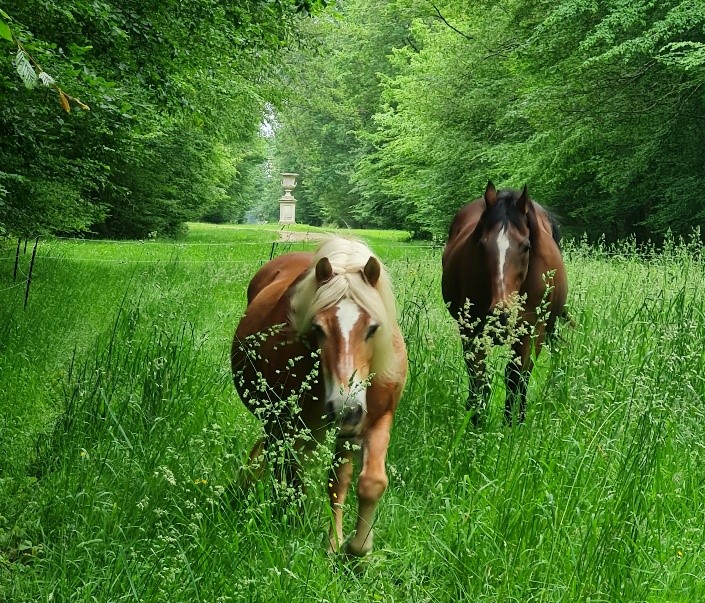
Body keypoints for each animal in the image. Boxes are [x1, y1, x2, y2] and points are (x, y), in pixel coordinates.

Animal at [231, 237, 407, 556]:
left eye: (373, 328)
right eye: (318, 328)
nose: (346, 408)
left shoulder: (377, 419)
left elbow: (367, 482)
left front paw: (356, 549)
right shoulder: (289, 424)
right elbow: (296, 477)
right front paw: (308, 531)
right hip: (276, 421)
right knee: (282, 465)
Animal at [442, 181, 568, 425]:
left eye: (526, 246)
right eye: (482, 245)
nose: (502, 313)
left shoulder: (532, 332)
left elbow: (516, 377)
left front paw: (512, 423)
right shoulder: (472, 331)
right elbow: (479, 378)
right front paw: (476, 421)